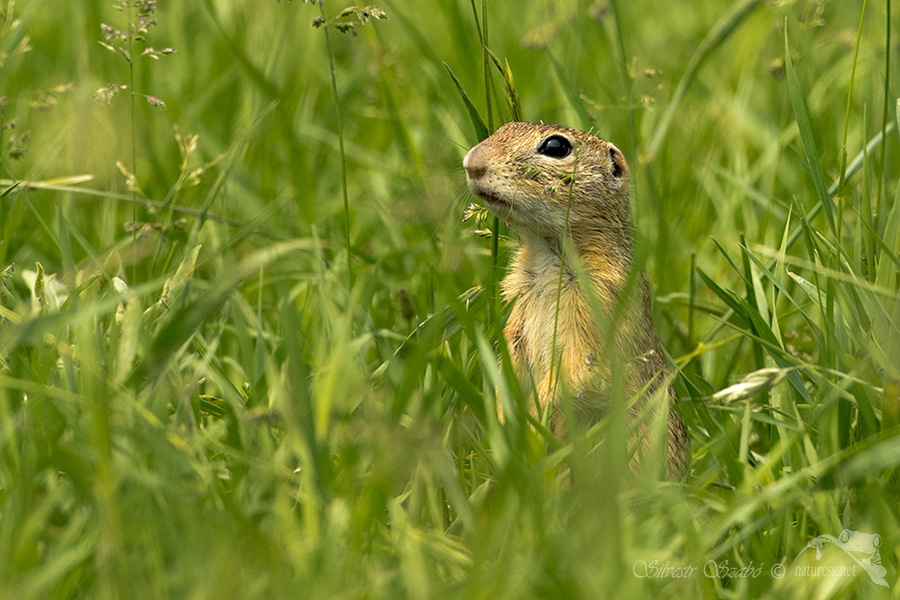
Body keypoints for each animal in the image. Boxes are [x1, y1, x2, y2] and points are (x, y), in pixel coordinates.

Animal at [464, 120, 688, 478]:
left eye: (556, 147)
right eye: (504, 127)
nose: (472, 163)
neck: (547, 250)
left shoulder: (601, 300)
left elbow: (579, 370)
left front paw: (530, 417)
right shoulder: (516, 305)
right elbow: (509, 352)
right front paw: (502, 415)